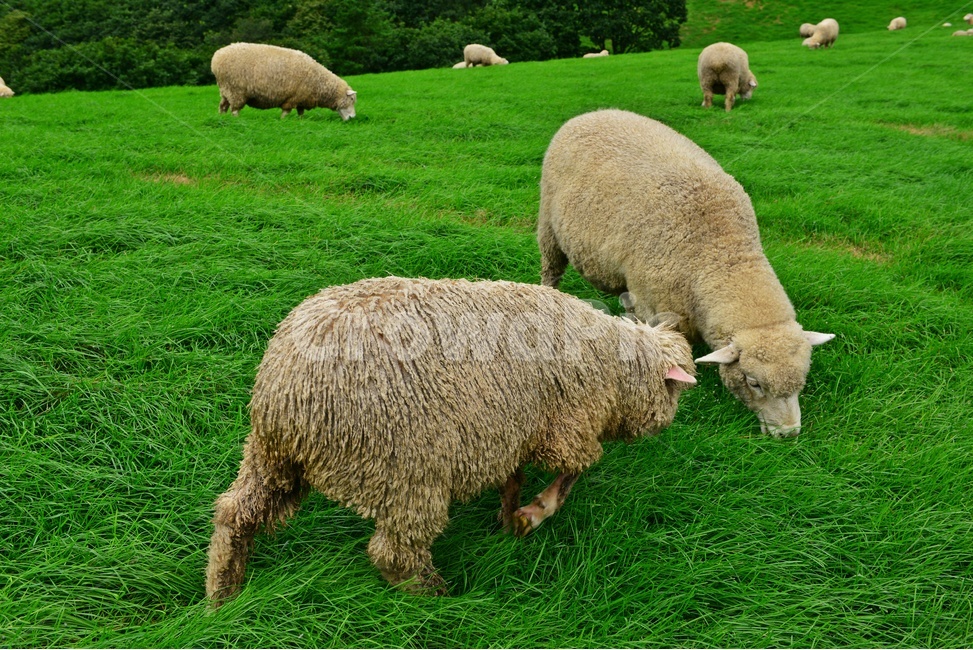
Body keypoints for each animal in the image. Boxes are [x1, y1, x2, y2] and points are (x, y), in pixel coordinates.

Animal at [205, 276, 696, 603]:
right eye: (675, 389)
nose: (667, 423)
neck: (616, 370)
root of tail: (286, 386)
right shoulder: (567, 429)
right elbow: (575, 471)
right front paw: (534, 514)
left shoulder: (513, 429)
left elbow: (513, 479)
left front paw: (508, 519)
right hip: (407, 471)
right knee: (394, 554)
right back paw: (438, 597)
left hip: (272, 458)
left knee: (234, 514)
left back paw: (221, 595)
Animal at [210, 42, 357, 120]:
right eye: (351, 100)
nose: (353, 118)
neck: (319, 83)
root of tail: (216, 57)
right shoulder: (293, 98)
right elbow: (286, 111)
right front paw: (283, 120)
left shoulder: (301, 99)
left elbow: (301, 112)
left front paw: (301, 121)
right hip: (236, 91)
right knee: (235, 109)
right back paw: (238, 120)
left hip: (226, 90)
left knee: (223, 106)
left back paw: (222, 118)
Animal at [537, 109, 835, 438]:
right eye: (754, 382)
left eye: (802, 380)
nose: (788, 433)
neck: (721, 253)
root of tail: (594, 112)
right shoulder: (658, 306)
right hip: (548, 223)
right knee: (551, 269)